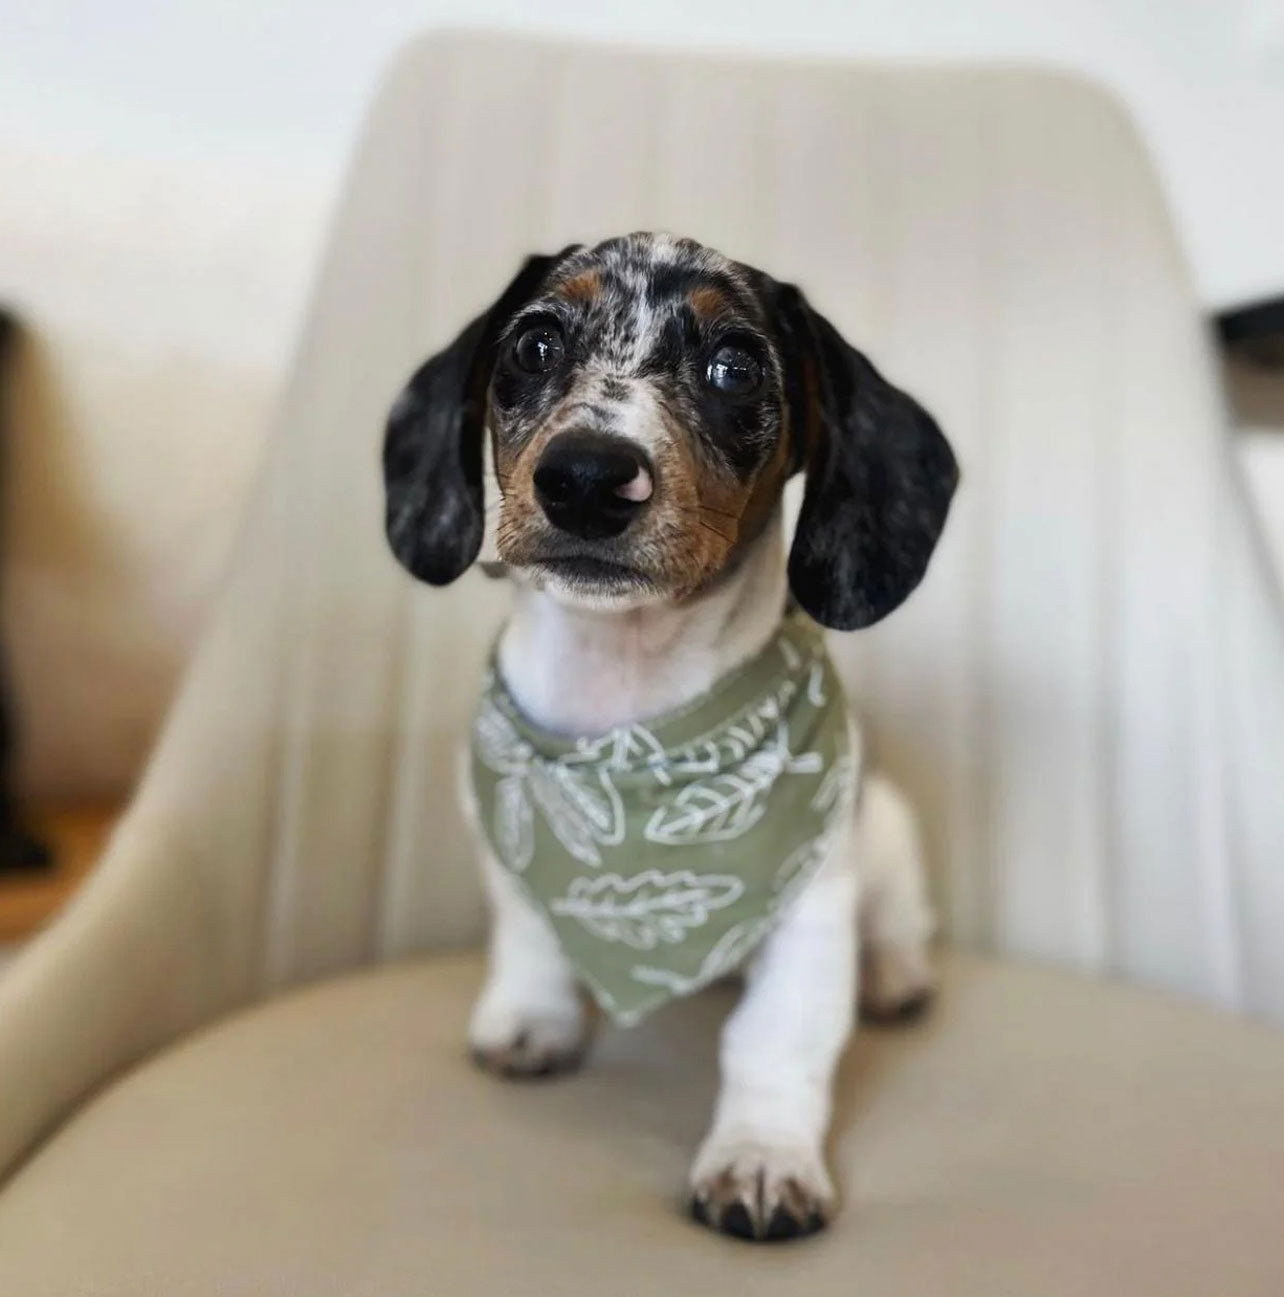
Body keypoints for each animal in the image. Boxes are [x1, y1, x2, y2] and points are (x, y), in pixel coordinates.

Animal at [381, 230, 954, 1234]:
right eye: (533, 345)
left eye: (735, 366)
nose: (584, 478)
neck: (629, 705)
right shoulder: (505, 839)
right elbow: (529, 936)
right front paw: (531, 1021)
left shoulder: (811, 910)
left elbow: (776, 1035)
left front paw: (761, 1157)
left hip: (883, 830)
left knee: (898, 922)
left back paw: (894, 975)